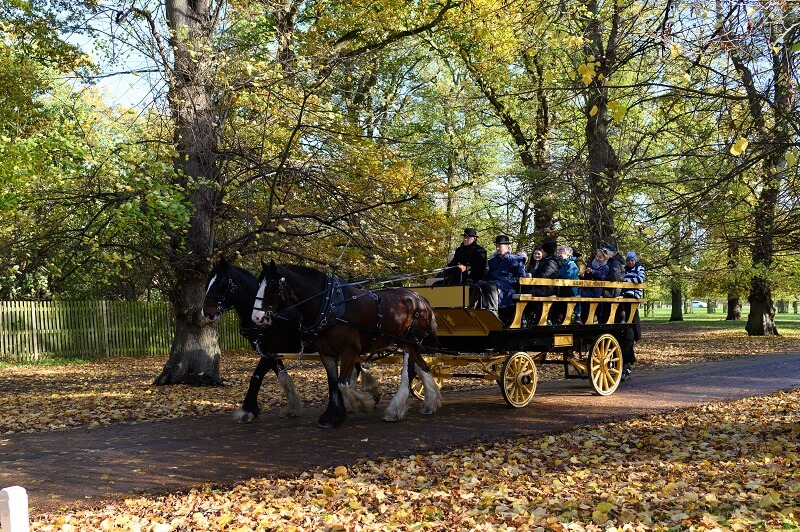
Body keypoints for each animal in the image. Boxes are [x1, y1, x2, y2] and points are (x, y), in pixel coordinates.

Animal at [252, 262, 440, 428]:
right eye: (258, 284)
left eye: (272, 286)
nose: (257, 318)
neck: (329, 305)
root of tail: (419, 298)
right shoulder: (326, 353)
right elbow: (334, 383)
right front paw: (332, 417)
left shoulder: (349, 351)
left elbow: (343, 383)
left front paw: (366, 403)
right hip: (409, 343)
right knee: (424, 367)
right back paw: (431, 403)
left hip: (408, 343)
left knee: (408, 373)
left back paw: (394, 411)